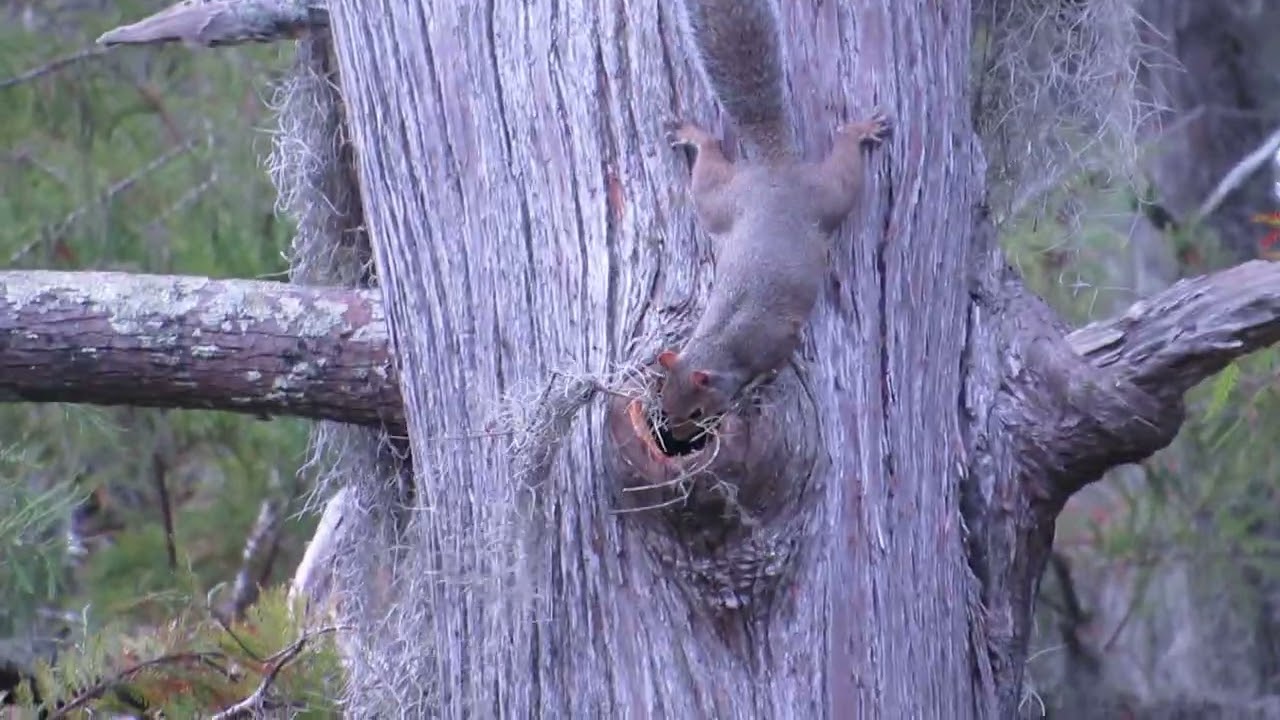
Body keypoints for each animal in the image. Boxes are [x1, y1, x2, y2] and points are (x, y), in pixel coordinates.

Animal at [656, 0, 891, 441]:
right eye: (663, 400)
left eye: (696, 412)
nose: (677, 439)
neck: (723, 344)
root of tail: (774, 166)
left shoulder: (777, 339)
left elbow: (779, 362)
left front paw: (756, 387)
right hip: (723, 200)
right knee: (710, 151)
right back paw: (694, 133)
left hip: (826, 194)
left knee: (845, 158)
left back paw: (859, 130)